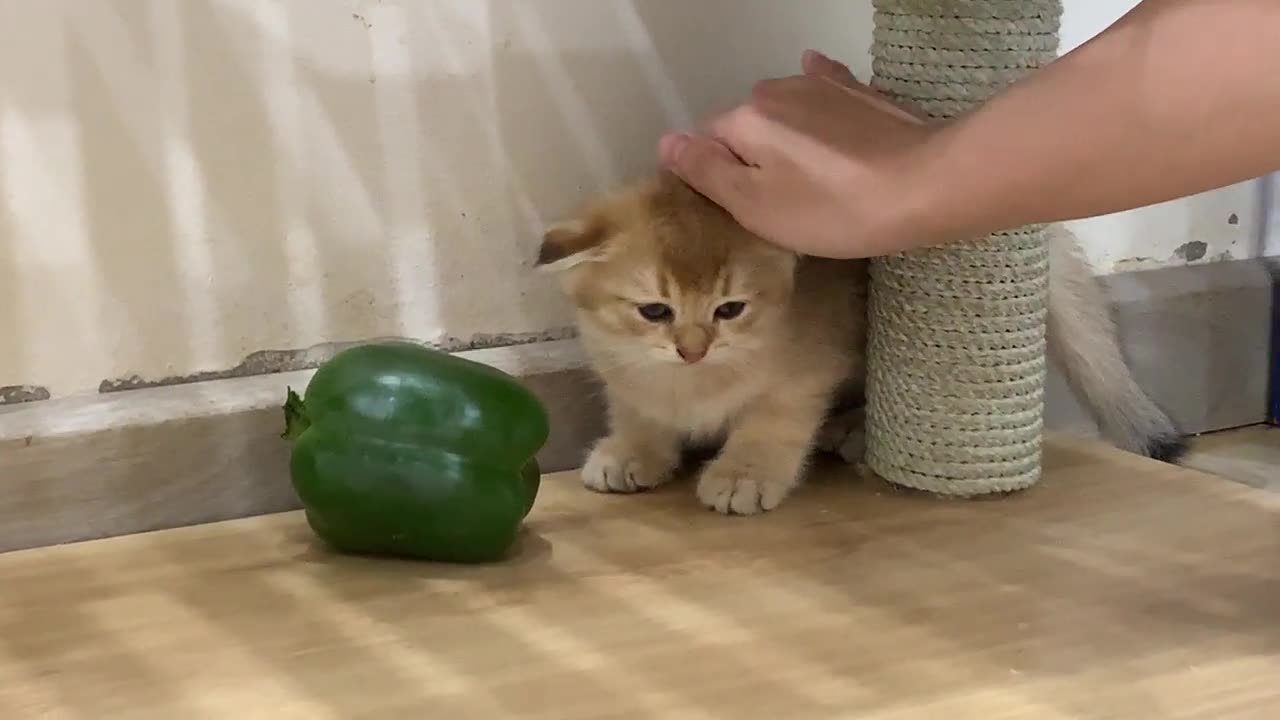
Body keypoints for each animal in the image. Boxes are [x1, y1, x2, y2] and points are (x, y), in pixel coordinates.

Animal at [535, 170, 1182, 512]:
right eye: (654, 310)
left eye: (730, 309)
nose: (692, 348)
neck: (692, 382)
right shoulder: (621, 370)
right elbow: (638, 410)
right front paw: (631, 452)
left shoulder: (804, 373)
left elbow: (770, 424)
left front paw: (743, 475)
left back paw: (855, 430)